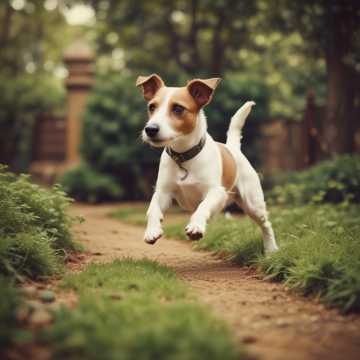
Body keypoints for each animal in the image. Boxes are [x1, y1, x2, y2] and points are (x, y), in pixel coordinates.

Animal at [136, 74, 280, 253]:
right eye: (152, 107)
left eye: (178, 108)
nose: (150, 129)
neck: (184, 157)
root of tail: (232, 148)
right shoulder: (163, 192)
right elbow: (153, 208)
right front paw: (152, 230)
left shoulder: (216, 191)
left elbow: (203, 206)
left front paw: (196, 226)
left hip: (253, 203)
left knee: (266, 224)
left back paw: (271, 249)